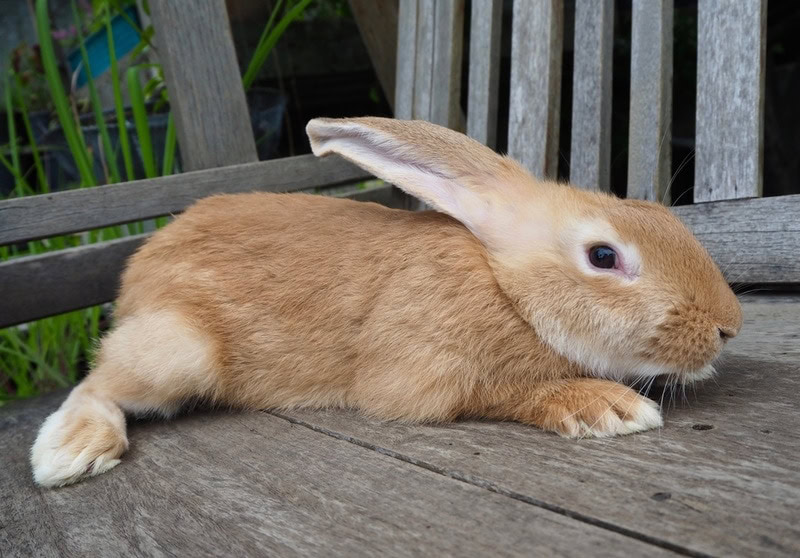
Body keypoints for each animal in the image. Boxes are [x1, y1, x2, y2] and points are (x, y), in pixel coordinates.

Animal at [30, 117, 742, 487]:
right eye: (603, 257)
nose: (728, 326)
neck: (506, 289)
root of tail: (134, 282)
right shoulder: (427, 373)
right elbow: (508, 391)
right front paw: (606, 406)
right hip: (179, 349)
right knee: (98, 382)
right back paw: (69, 454)